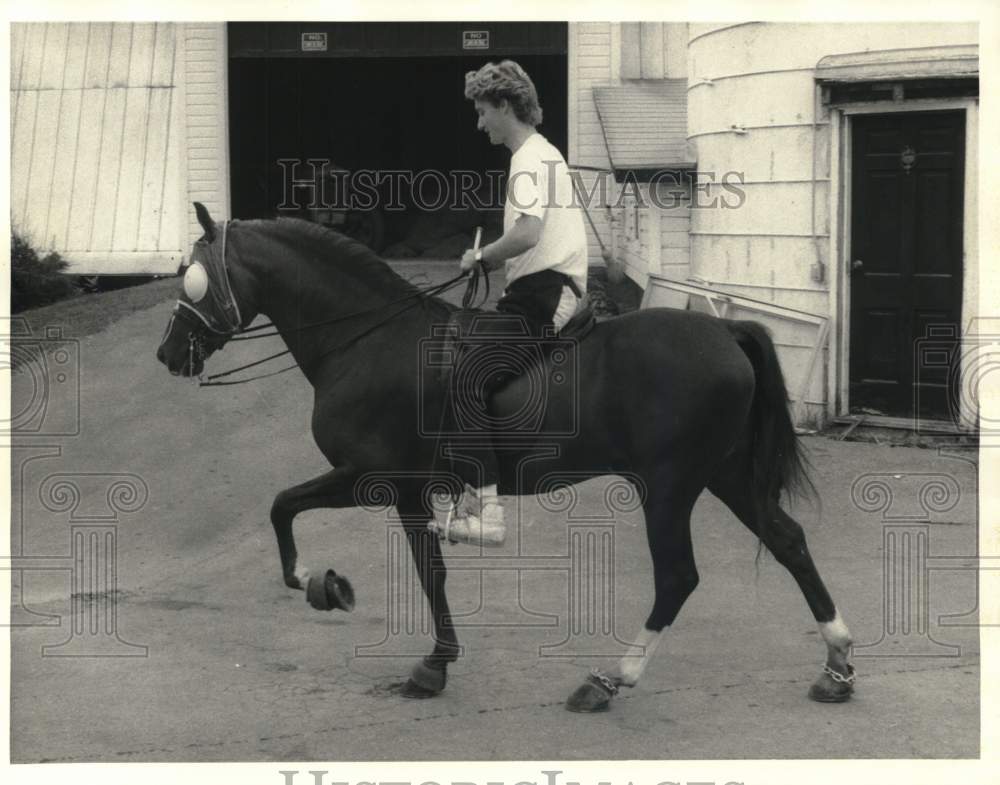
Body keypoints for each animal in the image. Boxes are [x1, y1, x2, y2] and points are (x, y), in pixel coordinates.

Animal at [158, 202, 860, 712]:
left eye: (193, 274)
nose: (168, 353)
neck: (368, 340)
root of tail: (726, 332)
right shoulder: (408, 492)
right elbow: (414, 563)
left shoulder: (376, 480)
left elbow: (297, 513)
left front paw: (327, 589)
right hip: (724, 474)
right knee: (789, 541)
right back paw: (836, 664)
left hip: (670, 486)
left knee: (678, 577)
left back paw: (611, 678)